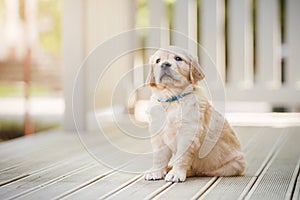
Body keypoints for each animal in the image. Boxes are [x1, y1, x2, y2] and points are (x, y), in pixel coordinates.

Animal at [144, 45, 245, 183]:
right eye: (158, 61)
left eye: (178, 58)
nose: (164, 64)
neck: (173, 99)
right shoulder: (159, 134)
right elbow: (159, 157)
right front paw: (155, 171)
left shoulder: (188, 134)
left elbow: (181, 157)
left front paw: (176, 173)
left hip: (230, 165)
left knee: (199, 170)